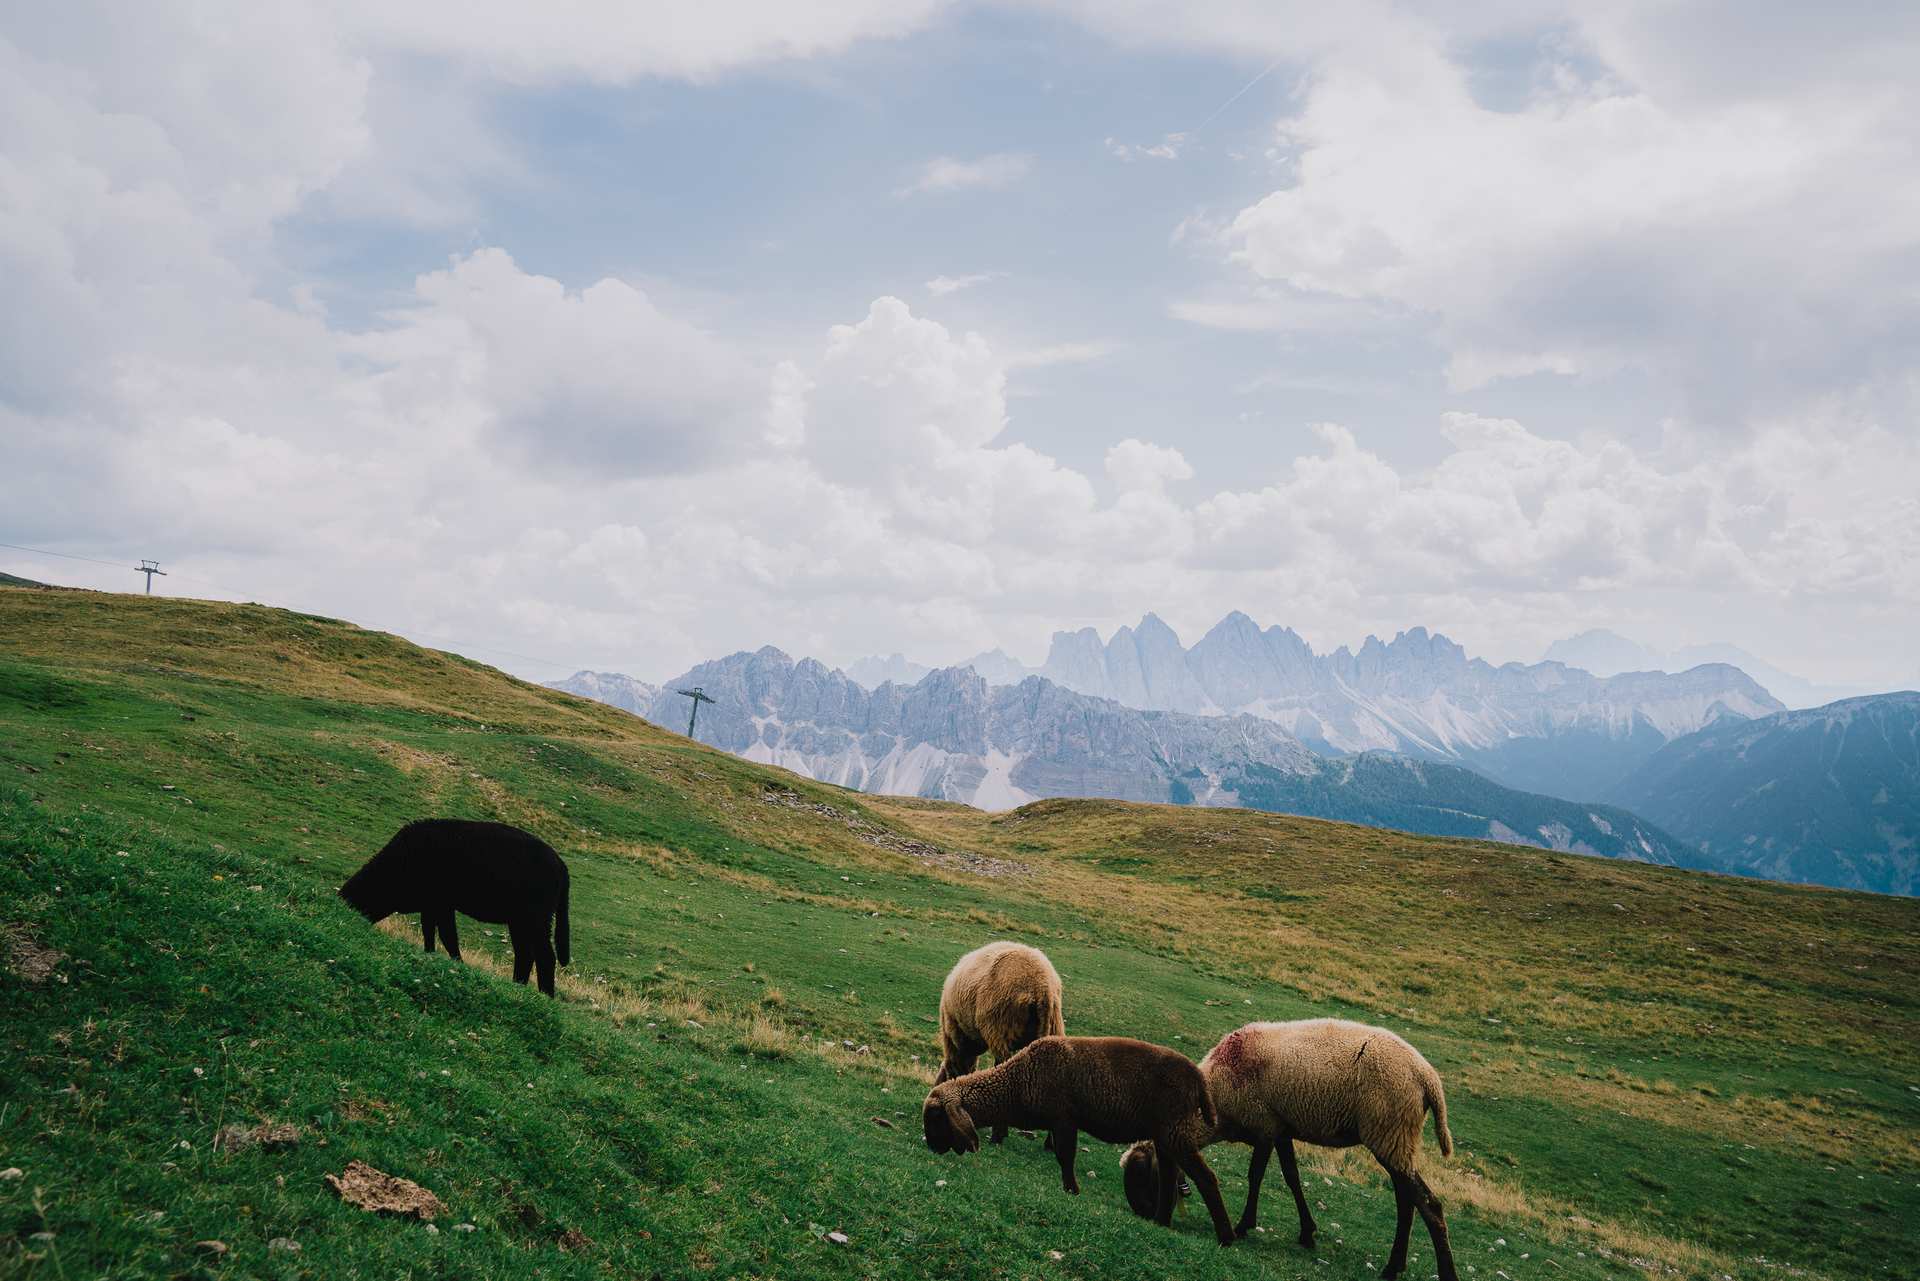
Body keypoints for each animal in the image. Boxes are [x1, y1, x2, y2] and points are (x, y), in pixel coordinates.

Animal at [339, 819, 571, 996]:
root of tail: (561, 865)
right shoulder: (432, 904)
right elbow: (430, 931)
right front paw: (431, 954)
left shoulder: (440, 903)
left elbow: (447, 935)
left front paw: (456, 962)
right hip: (519, 920)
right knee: (525, 954)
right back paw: (517, 986)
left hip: (536, 917)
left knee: (545, 957)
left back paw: (546, 996)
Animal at [923, 1035, 1237, 1246]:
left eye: (936, 1116)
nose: (932, 1148)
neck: (1017, 1082)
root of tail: (1199, 1081)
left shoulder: (1063, 1119)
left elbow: (1065, 1156)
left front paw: (1072, 1190)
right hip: (1165, 1135)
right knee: (1170, 1175)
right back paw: (1161, 1221)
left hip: (1175, 1130)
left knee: (1206, 1178)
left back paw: (1225, 1237)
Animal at [934, 941, 1066, 1144]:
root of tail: (1041, 988)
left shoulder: (953, 1031)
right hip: (1054, 1026)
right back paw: (1050, 1143)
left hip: (997, 1026)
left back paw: (998, 1135)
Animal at [1119, 1019, 1456, 1281]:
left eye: (1141, 1174)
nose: (1142, 1214)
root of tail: (1429, 1078)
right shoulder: (1281, 1128)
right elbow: (1292, 1177)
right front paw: (1307, 1233)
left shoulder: (1264, 1125)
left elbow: (1256, 1175)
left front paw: (1243, 1225)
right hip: (1397, 1138)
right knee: (1407, 1201)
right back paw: (1395, 1265)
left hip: (1389, 1132)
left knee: (1427, 1204)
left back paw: (1437, 1271)